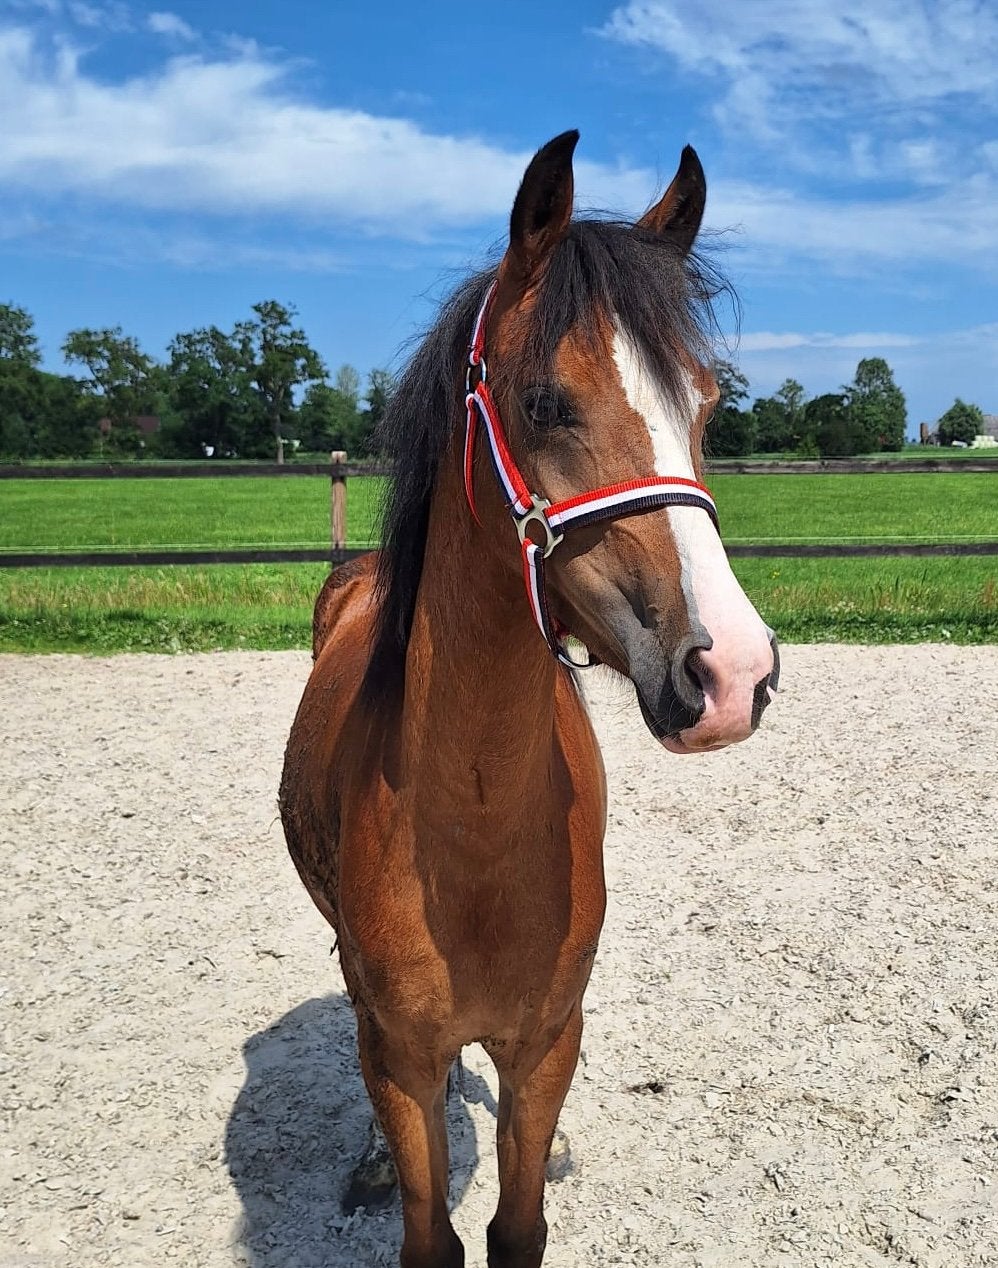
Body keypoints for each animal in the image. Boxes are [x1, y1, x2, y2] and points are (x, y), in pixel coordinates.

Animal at [279, 130, 779, 1268]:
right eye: (546, 401)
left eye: (706, 403)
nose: (731, 673)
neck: (469, 827)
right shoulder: (400, 1055)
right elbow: (432, 1230)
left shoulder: (548, 1041)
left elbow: (518, 1224)